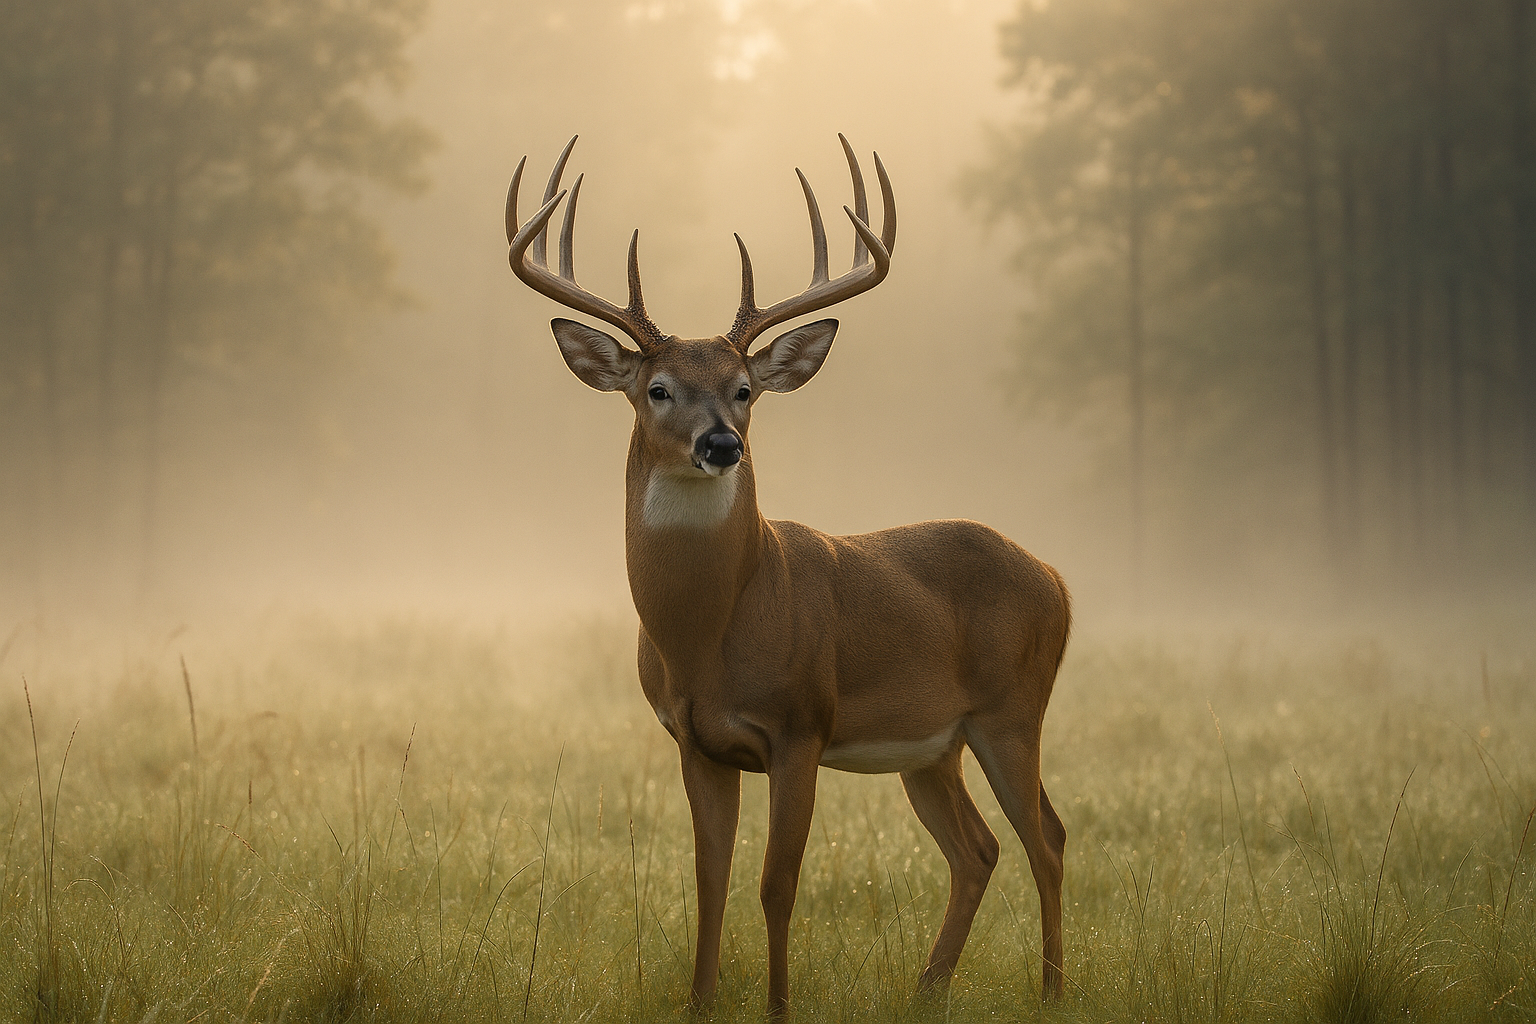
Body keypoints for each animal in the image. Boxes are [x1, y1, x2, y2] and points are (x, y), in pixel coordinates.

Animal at [504, 135, 1071, 1014]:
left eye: (745, 390)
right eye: (657, 388)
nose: (721, 443)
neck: (710, 633)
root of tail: (1055, 578)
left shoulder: (801, 726)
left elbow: (778, 884)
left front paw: (777, 1006)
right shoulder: (694, 739)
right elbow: (709, 882)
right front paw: (700, 1004)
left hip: (1012, 710)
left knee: (1047, 837)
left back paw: (1049, 991)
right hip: (933, 747)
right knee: (979, 849)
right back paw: (927, 989)